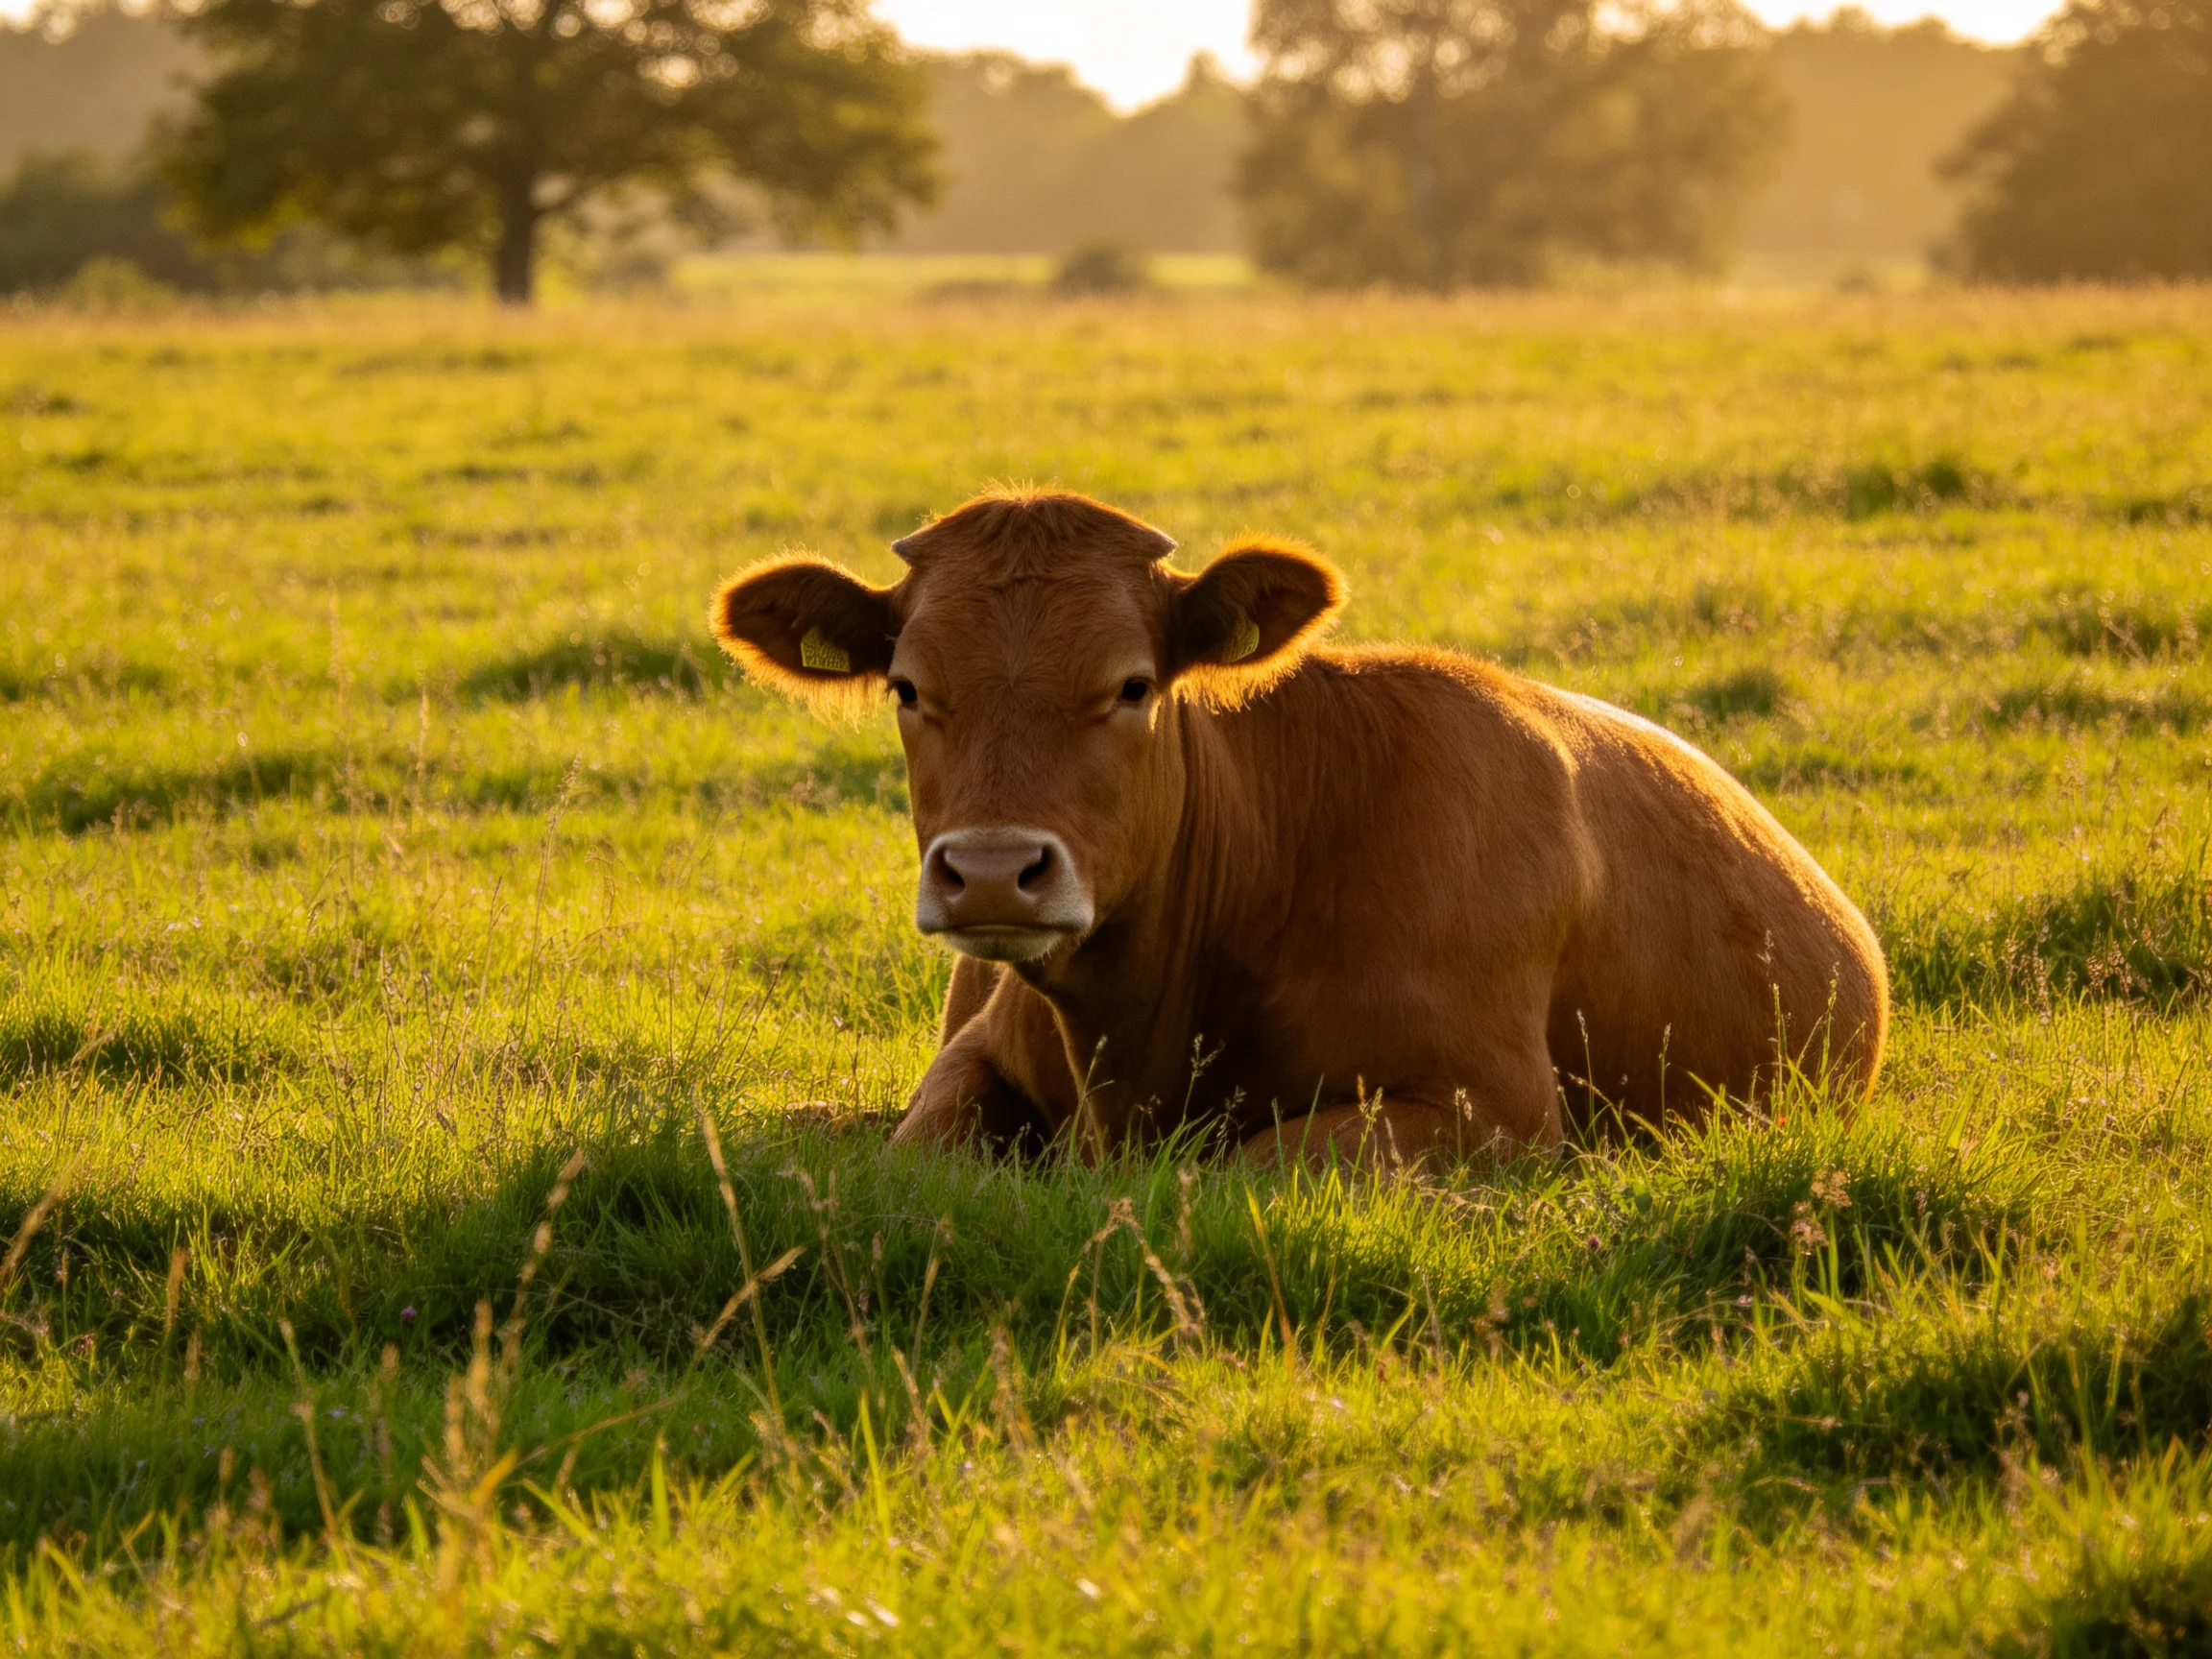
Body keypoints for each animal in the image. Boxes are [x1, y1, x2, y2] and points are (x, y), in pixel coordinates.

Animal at [710, 491, 1888, 1167]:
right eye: (908, 687)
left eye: (1133, 686)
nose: (996, 873)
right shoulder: (972, 1056)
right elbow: (915, 1154)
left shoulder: (1495, 1109)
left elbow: (1244, 1165)